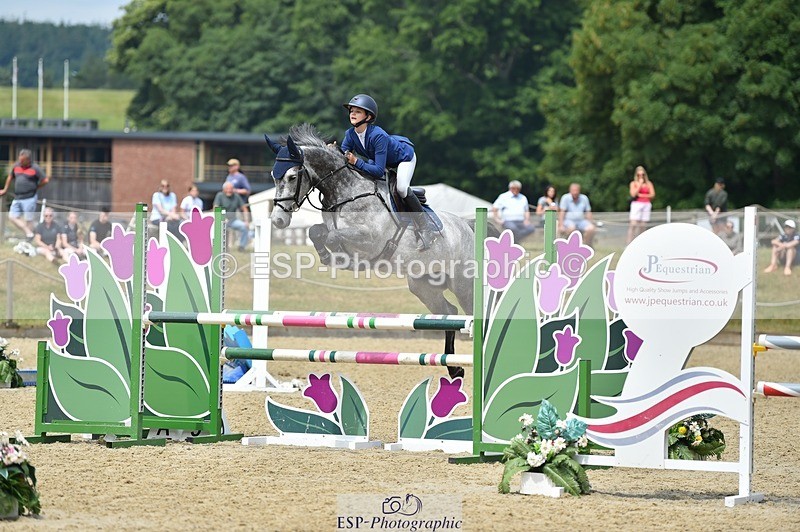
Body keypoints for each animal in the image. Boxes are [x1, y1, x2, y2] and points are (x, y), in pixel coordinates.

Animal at [267, 124, 483, 379]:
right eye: (274, 176)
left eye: (292, 177)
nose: (278, 220)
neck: (346, 193)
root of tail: (467, 226)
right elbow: (316, 232)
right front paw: (328, 256)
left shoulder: (369, 239)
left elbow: (333, 236)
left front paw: (341, 257)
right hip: (423, 286)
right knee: (448, 312)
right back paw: (454, 367)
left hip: (463, 284)